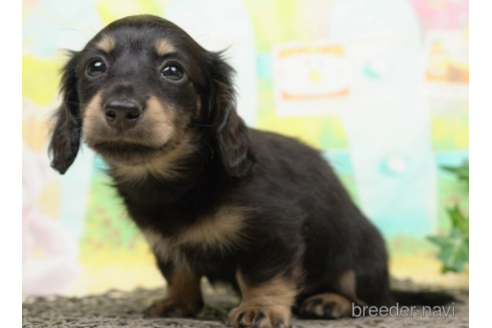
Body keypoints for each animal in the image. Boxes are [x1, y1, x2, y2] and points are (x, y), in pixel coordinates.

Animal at [48, 14, 452, 328]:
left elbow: (261, 274)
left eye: (173, 71)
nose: (121, 109)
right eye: (95, 67)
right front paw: (177, 303)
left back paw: (331, 300)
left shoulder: (273, 232)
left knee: (370, 300)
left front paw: (259, 309)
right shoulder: (164, 242)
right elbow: (178, 270)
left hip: (360, 257)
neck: (181, 178)